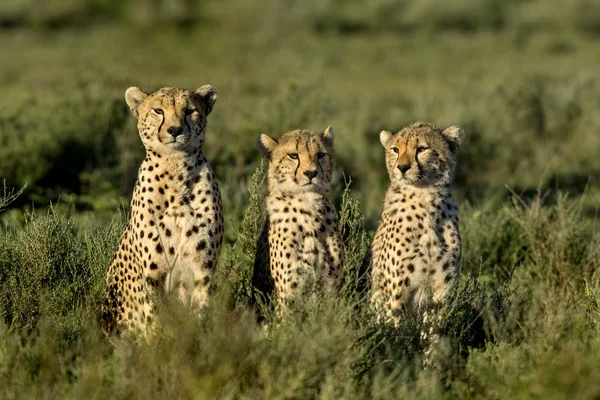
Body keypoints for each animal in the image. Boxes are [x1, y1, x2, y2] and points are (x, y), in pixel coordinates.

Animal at [102, 86, 224, 336]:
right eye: (158, 110)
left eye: (190, 111)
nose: (175, 130)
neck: (175, 168)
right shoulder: (153, 276)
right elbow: (155, 317)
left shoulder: (203, 272)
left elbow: (200, 313)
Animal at [252, 128, 342, 310]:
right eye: (293, 155)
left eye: (321, 155)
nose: (311, 173)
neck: (308, 205)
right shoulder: (289, 292)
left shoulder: (331, 287)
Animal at [360, 122, 464, 328]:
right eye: (395, 149)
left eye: (422, 149)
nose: (402, 167)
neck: (425, 198)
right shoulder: (396, 294)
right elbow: (395, 329)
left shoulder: (442, 291)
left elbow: (435, 332)